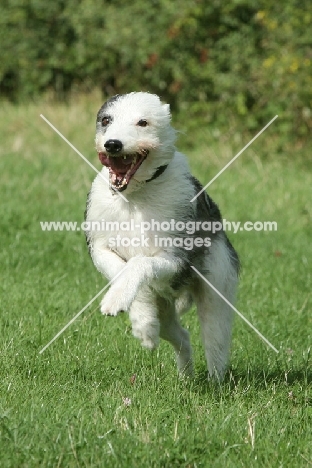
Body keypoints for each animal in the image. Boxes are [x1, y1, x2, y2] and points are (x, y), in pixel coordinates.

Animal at [85, 92, 239, 380]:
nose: (113, 144)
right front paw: (138, 315)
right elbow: (121, 269)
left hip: (217, 289)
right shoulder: (99, 247)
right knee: (182, 336)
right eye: (106, 120)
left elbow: (140, 262)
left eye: (143, 122)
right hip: (167, 311)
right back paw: (183, 374)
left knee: (215, 341)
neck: (135, 196)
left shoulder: (176, 259)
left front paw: (118, 302)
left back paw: (214, 383)